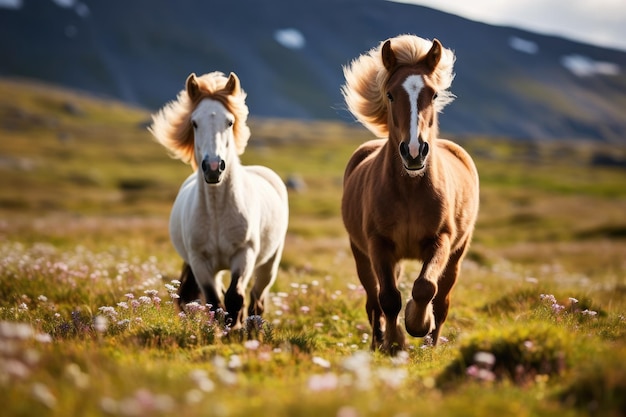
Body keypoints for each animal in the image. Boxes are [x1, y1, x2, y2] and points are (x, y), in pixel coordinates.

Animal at [150, 72, 288, 328]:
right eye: (194, 123)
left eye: (230, 122)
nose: (214, 167)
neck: (216, 212)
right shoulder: (200, 263)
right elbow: (215, 302)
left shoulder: (244, 255)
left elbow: (235, 298)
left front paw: (234, 329)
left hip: (269, 264)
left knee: (257, 299)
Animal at [338, 36, 476, 354]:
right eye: (390, 95)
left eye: (434, 94)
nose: (414, 152)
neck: (411, 191)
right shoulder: (378, 244)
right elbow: (388, 298)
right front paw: (394, 342)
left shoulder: (441, 240)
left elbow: (425, 287)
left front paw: (417, 322)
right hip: (362, 255)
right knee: (373, 301)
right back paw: (378, 341)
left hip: (457, 257)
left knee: (442, 301)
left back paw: (430, 345)